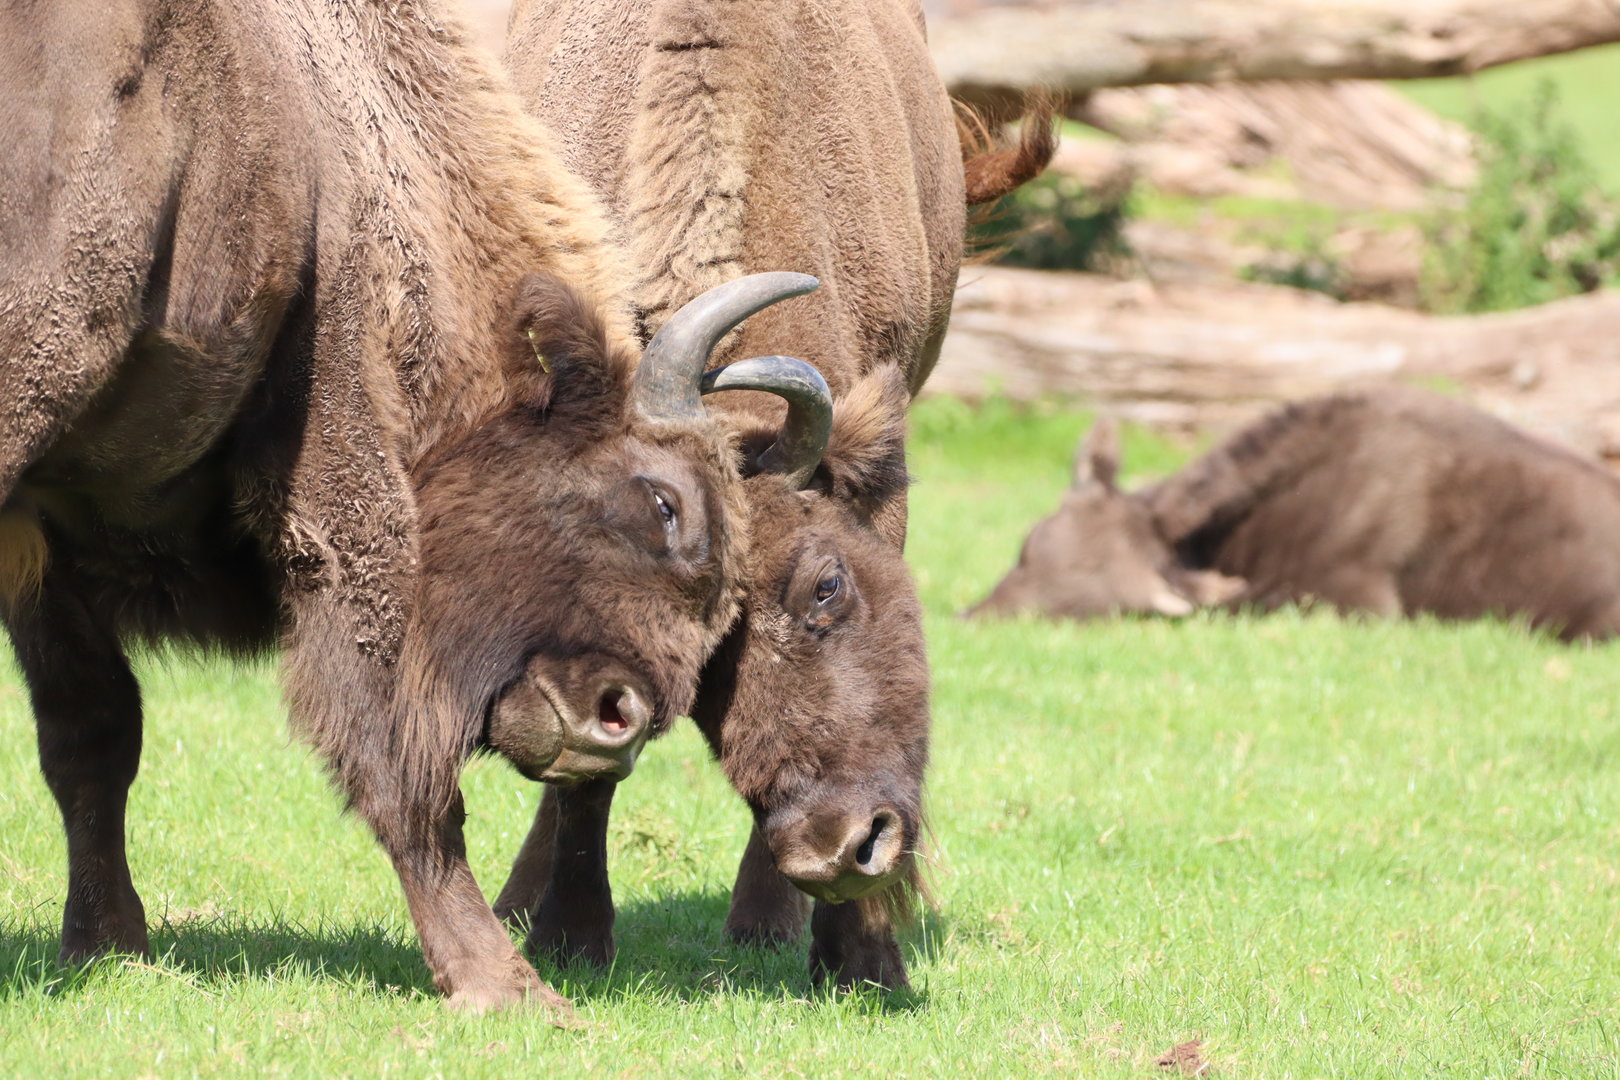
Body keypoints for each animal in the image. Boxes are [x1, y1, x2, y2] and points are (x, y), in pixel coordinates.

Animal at [0, 0, 829, 1012]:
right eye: (665, 504)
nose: (617, 719)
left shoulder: (49, 534)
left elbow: (90, 739)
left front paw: (109, 950)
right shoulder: (343, 470)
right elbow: (404, 762)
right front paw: (507, 986)